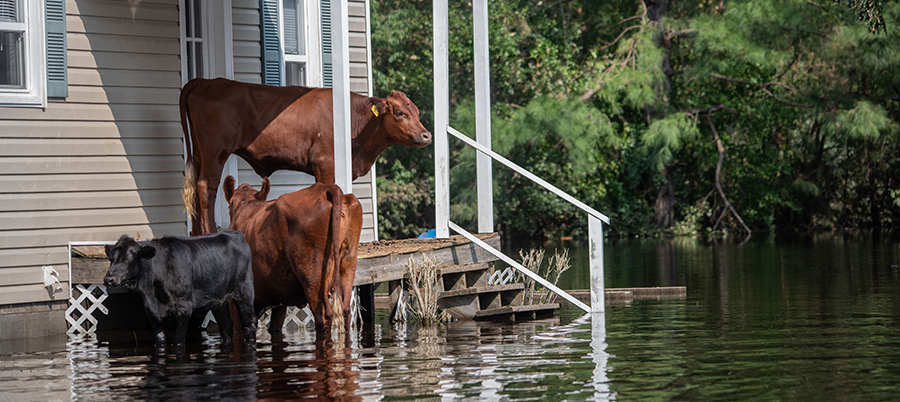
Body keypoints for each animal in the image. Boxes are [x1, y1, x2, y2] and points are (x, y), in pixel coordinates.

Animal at [103, 231, 256, 350]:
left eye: (126, 259)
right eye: (110, 259)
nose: (108, 279)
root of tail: (235, 233)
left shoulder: (184, 308)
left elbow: (178, 339)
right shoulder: (151, 311)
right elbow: (160, 339)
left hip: (245, 294)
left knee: (249, 324)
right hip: (218, 301)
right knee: (226, 326)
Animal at [180, 77, 432, 236]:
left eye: (416, 111)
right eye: (399, 113)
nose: (426, 135)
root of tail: (207, 81)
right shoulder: (324, 164)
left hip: (200, 152)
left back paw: (195, 234)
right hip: (215, 151)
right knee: (206, 187)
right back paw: (210, 232)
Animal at [223, 177, 364, 336]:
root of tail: (325, 188)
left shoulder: (235, 300)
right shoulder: (279, 297)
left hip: (312, 276)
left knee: (322, 316)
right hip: (348, 263)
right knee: (346, 311)